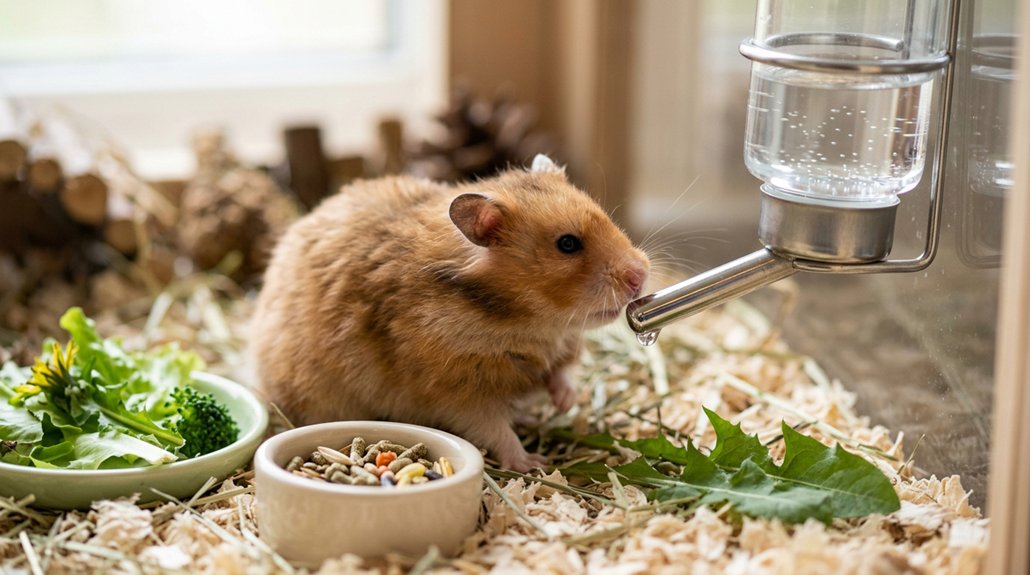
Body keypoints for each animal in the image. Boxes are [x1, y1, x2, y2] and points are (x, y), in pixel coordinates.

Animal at [249, 155, 649, 471]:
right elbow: (495, 430)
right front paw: (532, 463)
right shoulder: (457, 393)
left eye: (605, 217)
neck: (526, 320)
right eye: (567, 244)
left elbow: (561, 373)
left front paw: (566, 403)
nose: (640, 275)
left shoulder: (561, 347)